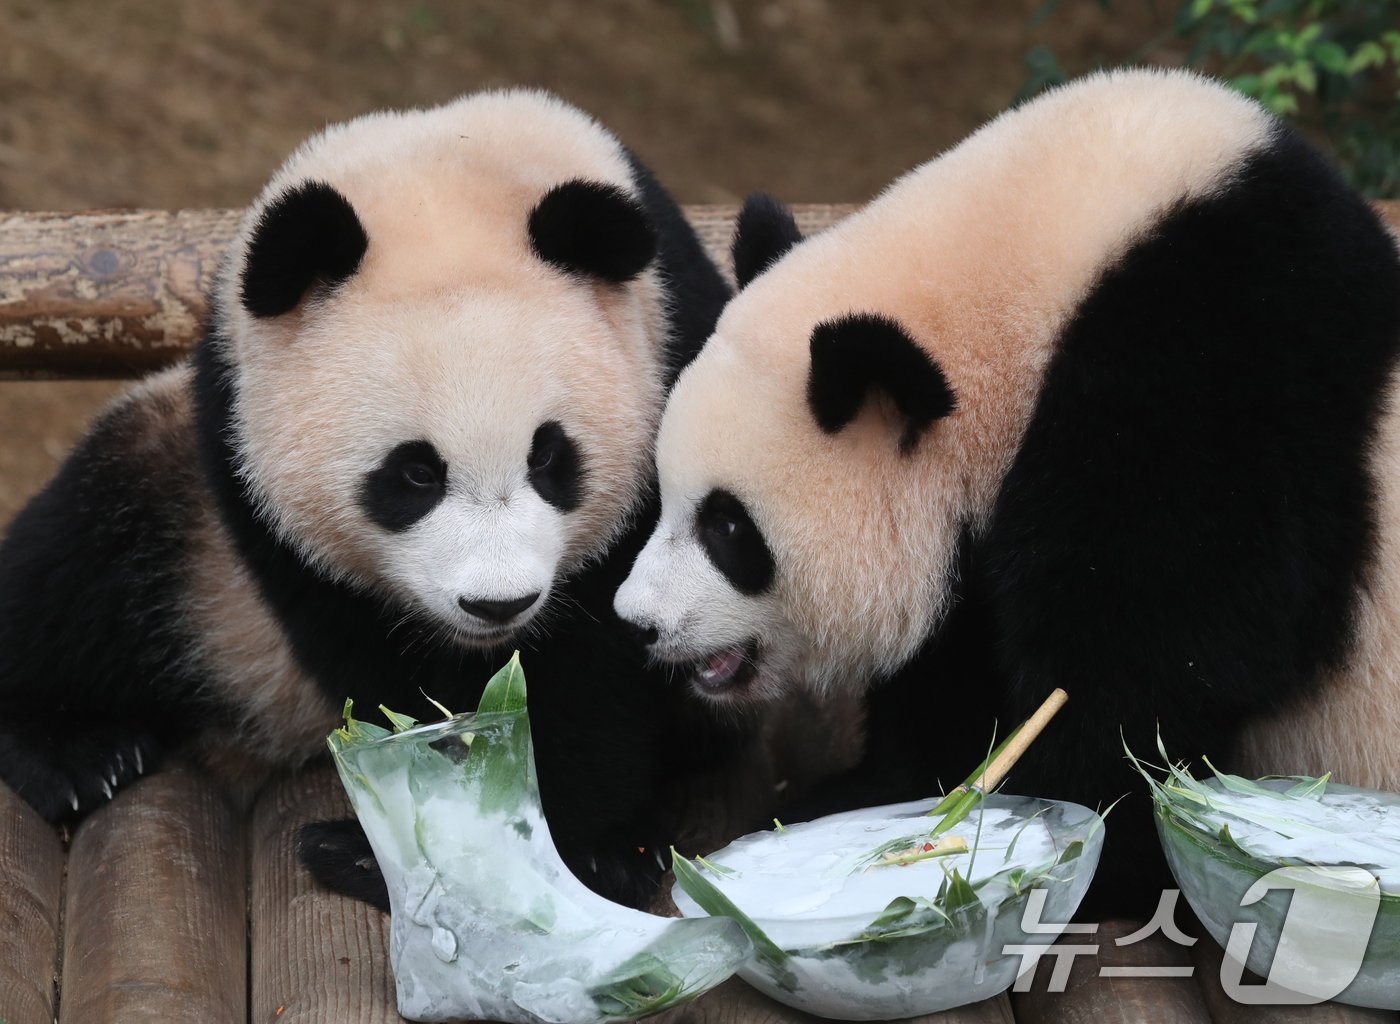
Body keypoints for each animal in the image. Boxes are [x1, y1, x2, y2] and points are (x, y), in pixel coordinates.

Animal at [0, 86, 756, 907]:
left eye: (550, 457)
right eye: (415, 473)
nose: (498, 605)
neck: (440, 178)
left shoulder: (678, 355)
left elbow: (605, 652)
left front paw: (592, 847)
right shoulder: (239, 435)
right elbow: (369, 651)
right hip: (178, 511)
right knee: (77, 564)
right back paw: (77, 755)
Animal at [618, 72, 1400, 918]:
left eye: (729, 529)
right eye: (666, 495)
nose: (639, 622)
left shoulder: (1210, 390)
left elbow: (1154, 657)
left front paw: (1079, 840)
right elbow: (957, 656)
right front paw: (876, 792)